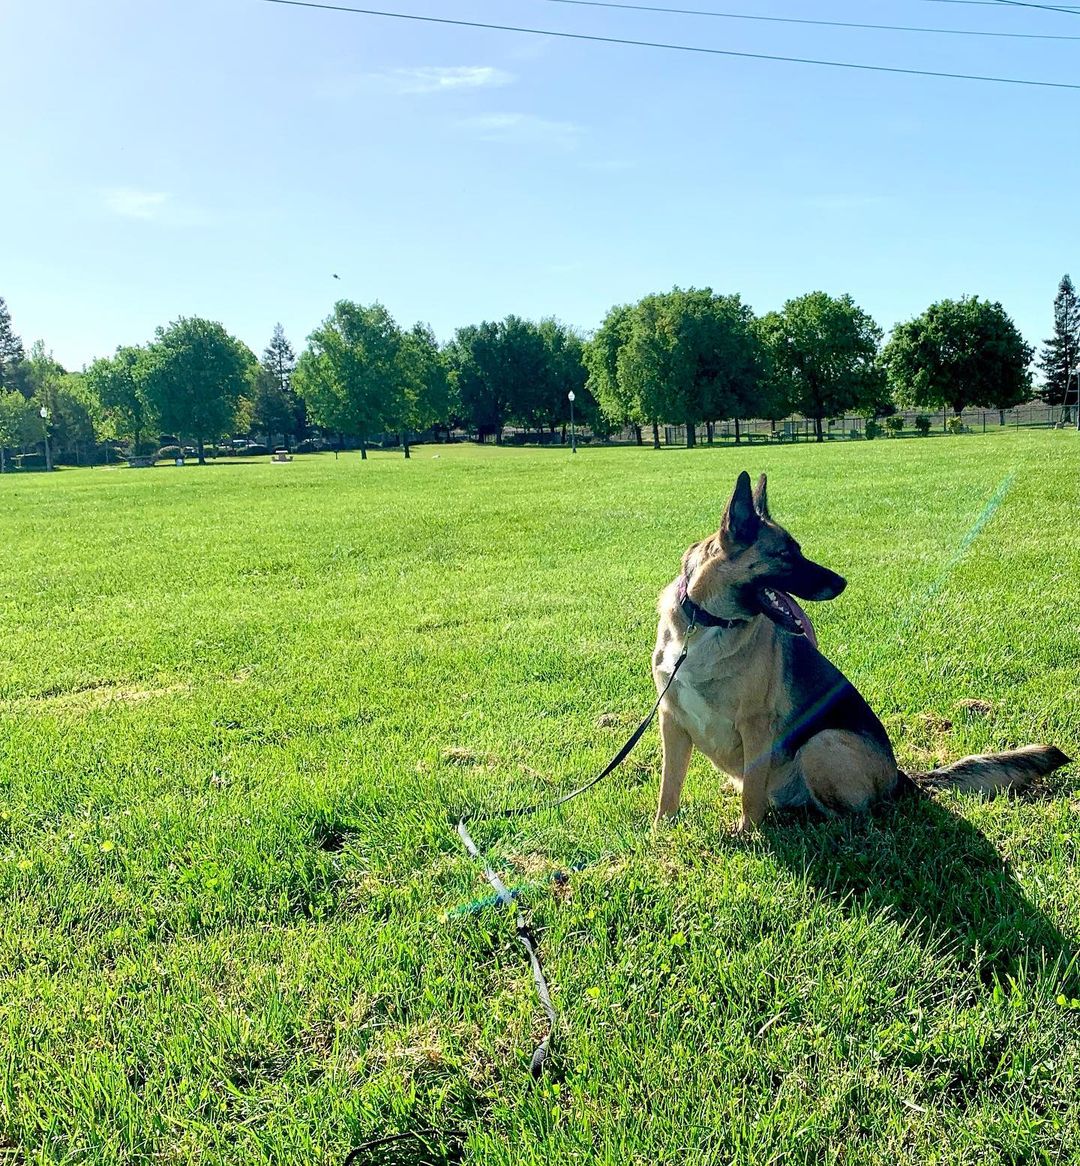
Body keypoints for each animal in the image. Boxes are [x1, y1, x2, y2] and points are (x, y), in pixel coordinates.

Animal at [653, 468, 1068, 834]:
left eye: (798, 551)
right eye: (786, 556)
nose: (842, 583)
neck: (704, 624)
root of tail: (899, 776)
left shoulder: (756, 727)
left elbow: (751, 798)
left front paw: (748, 834)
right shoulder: (672, 722)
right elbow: (669, 787)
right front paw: (663, 830)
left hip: (821, 744)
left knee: (857, 817)